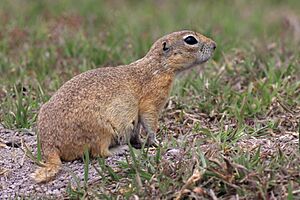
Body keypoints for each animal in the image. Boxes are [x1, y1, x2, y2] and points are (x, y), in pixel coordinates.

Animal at [32, 30, 216, 183]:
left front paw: (141, 142)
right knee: (99, 152)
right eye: (190, 40)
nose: (214, 45)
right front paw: (157, 142)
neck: (157, 67)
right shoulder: (152, 101)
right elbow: (150, 121)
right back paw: (121, 149)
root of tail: (49, 144)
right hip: (101, 132)